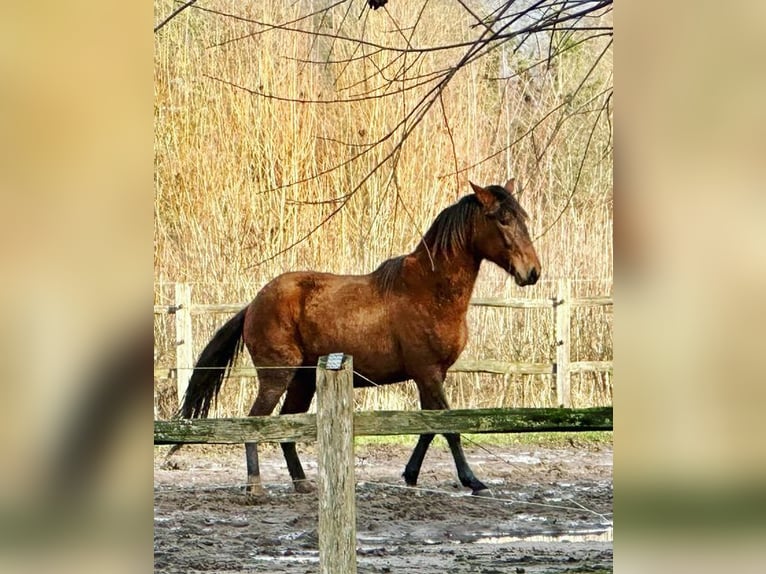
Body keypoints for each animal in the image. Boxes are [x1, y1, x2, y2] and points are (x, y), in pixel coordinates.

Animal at [179, 181, 540, 500]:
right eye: (502, 219)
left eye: (523, 216)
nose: (532, 272)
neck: (429, 290)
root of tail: (254, 304)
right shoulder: (428, 373)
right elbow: (448, 428)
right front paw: (473, 481)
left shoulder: (432, 375)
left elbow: (429, 427)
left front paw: (411, 476)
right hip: (276, 377)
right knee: (256, 422)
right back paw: (255, 486)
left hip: (302, 381)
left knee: (287, 425)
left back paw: (302, 483)